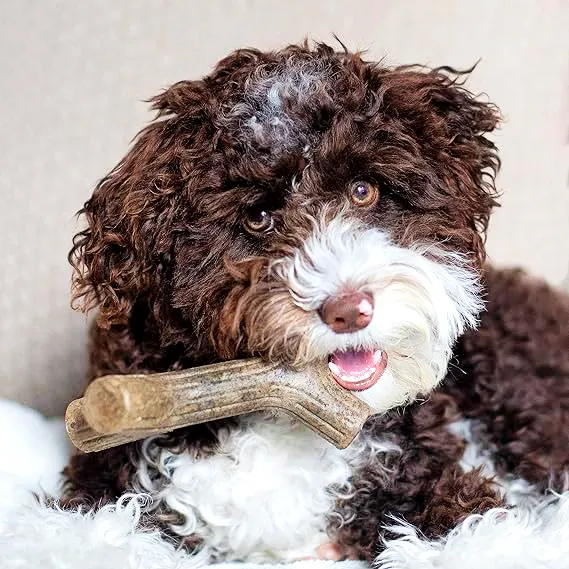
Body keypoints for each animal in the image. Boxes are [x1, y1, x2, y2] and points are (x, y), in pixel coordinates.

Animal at [62, 42, 568, 560]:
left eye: (363, 190)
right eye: (259, 216)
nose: (349, 310)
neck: (282, 422)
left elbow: (478, 530)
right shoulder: (112, 475)